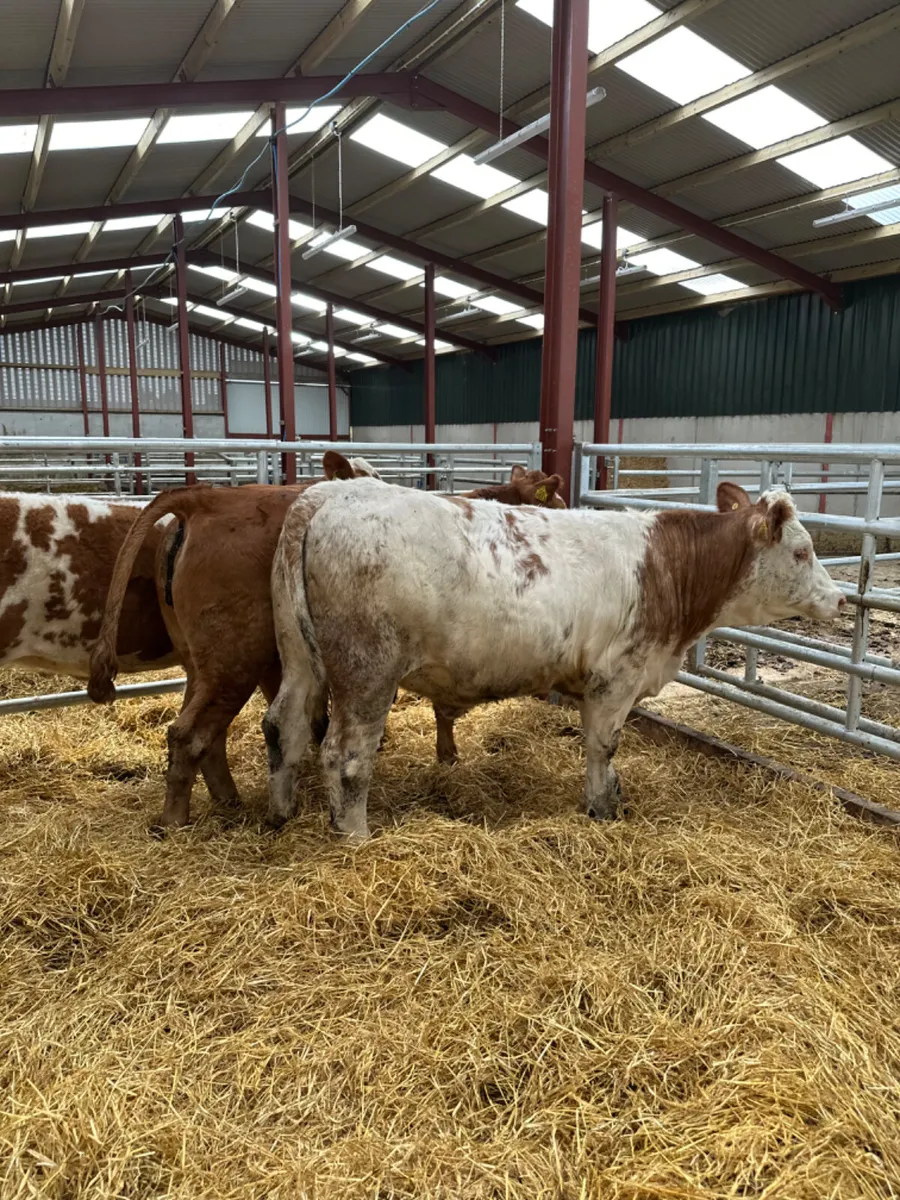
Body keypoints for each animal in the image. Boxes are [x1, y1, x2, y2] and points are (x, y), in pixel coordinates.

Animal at [87, 460, 566, 830]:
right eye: (556, 504)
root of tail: (205, 500)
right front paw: (445, 756)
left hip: (205, 665)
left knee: (215, 734)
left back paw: (232, 803)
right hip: (234, 663)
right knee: (189, 735)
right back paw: (175, 821)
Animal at [261, 479, 845, 841]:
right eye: (801, 552)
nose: (839, 599)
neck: (668, 569)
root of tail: (332, 494)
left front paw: (611, 798)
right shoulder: (617, 677)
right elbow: (603, 746)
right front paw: (602, 808)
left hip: (299, 658)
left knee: (283, 726)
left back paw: (280, 813)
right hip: (367, 673)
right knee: (346, 755)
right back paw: (356, 837)